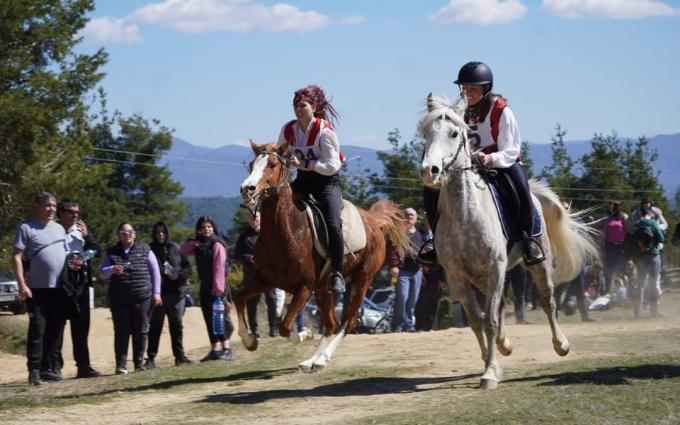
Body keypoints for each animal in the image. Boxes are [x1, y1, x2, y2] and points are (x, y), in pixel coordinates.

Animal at [236, 141, 412, 370]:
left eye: (272, 165)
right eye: (251, 164)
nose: (247, 189)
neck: (287, 232)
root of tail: (373, 221)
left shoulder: (304, 288)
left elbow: (285, 327)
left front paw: (305, 334)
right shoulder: (264, 279)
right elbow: (239, 299)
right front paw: (249, 340)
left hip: (361, 280)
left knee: (348, 322)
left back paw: (323, 358)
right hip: (323, 289)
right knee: (331, 324)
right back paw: (312, 361)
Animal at [418, 94, 596, 390]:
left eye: (454, 133)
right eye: (425, 134)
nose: (429, 172)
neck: (465, 214)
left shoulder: (495, 268)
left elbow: (489, 320)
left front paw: (490, 373)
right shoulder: (458, 277)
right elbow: (477, 321)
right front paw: (490, 361)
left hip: (537, 265)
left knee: (547, 301)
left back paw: (560, 345)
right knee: (500, 307)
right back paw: (504, 345)